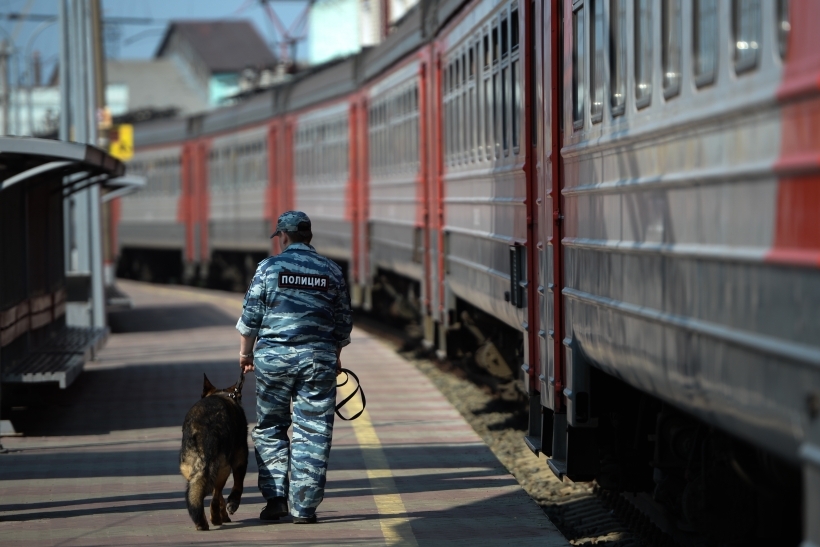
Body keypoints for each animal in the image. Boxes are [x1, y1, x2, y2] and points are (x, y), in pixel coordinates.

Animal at [177, 374, 247, 532]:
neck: (222, 394)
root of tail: (205, 426)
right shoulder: (240, 458)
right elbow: (237, 484)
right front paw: (230, 507)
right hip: (224, 468)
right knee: (214, 498)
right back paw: (215, 519)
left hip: (190, 469)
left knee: (199, 493)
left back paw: (202, 522)